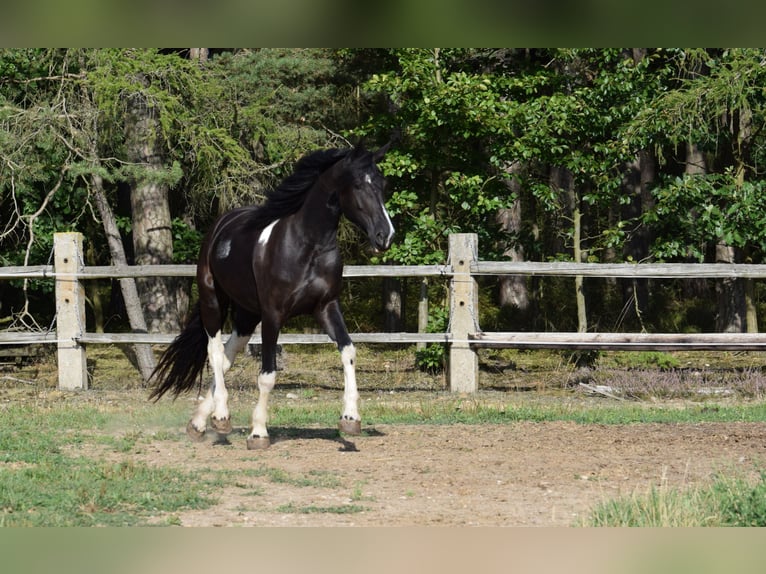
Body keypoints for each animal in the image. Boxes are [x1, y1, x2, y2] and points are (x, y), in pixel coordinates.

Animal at [148, 144, 396, 450]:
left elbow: (348, 350)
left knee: (228, 355)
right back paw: (221, 416)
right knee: (215, 353)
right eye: (359, 185)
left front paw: (350, 419)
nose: (385, 236)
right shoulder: (273, 315)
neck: (307, 245)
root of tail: (220, 226)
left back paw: (199, 424)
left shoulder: (326, 307)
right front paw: (258, 433)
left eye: (383, 184)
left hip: (246, 314)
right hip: (213, 301)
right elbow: (267, 375)